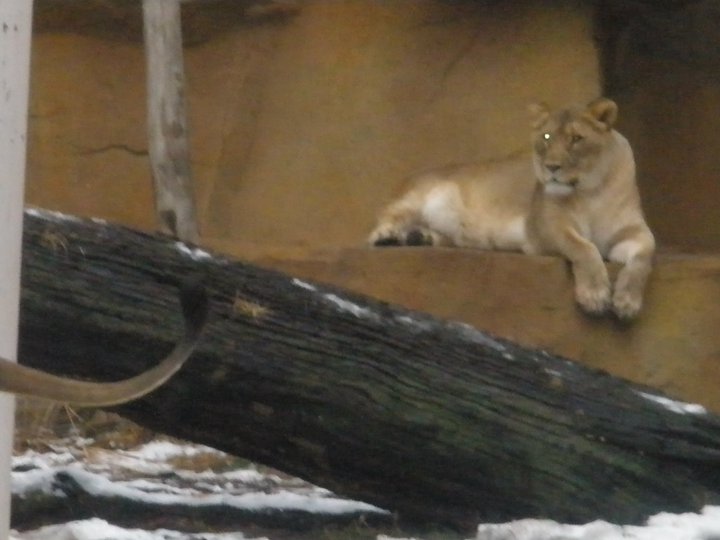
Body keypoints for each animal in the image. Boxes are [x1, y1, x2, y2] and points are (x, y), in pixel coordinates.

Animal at [368, 97, 655, 319]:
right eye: (546, 137)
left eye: (576, 138)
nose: (551, 167)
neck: (593, 191)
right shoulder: (544, 227)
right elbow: (583, 247)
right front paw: (595, 296)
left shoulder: (634, 231)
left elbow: (644, 258)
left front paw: (627, 302)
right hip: (421, 196)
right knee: (385, 220)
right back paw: (388, 236)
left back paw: (420, 237)